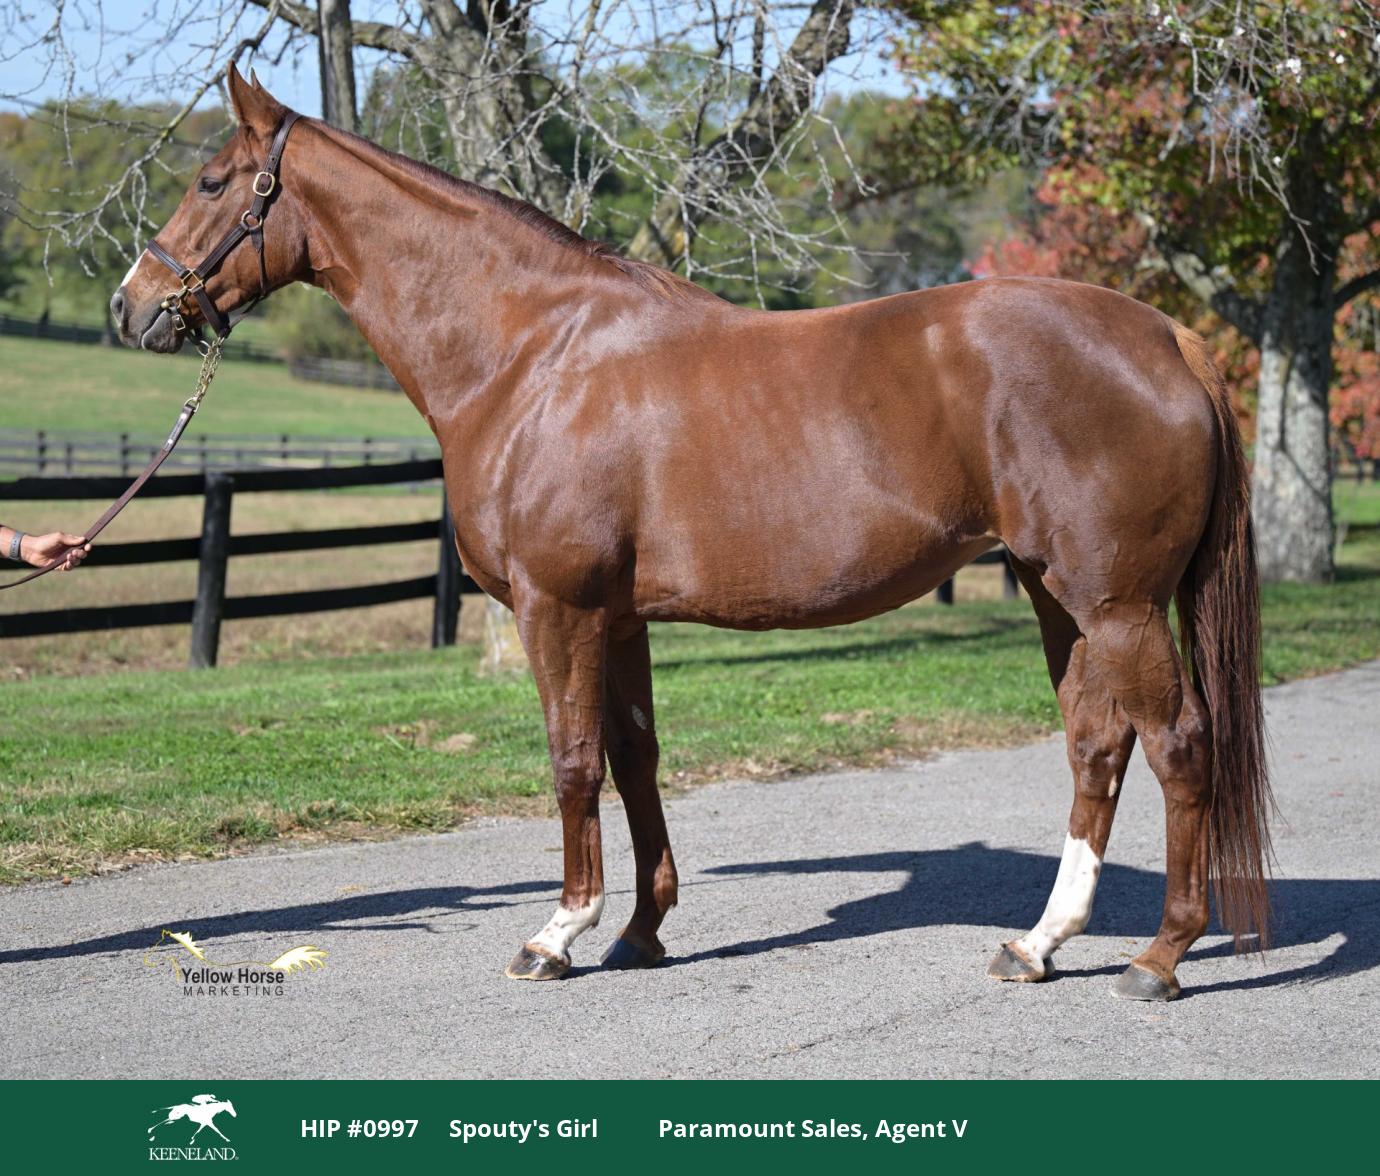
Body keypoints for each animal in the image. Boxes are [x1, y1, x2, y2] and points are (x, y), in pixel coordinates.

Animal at [109, 65, 1271, 1002]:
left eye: (212, 181)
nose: (133, 306)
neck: (532, 354)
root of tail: (1168, 336)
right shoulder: (618, 619)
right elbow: (635, 759)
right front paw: (640, 932)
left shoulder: (559, 609)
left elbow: (572, 761)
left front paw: (556, 935)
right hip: (1054, 593)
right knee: (1097, 746)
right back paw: (1037, 944)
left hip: (1116, 604)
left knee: (1179, 744)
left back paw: (1158, 958)